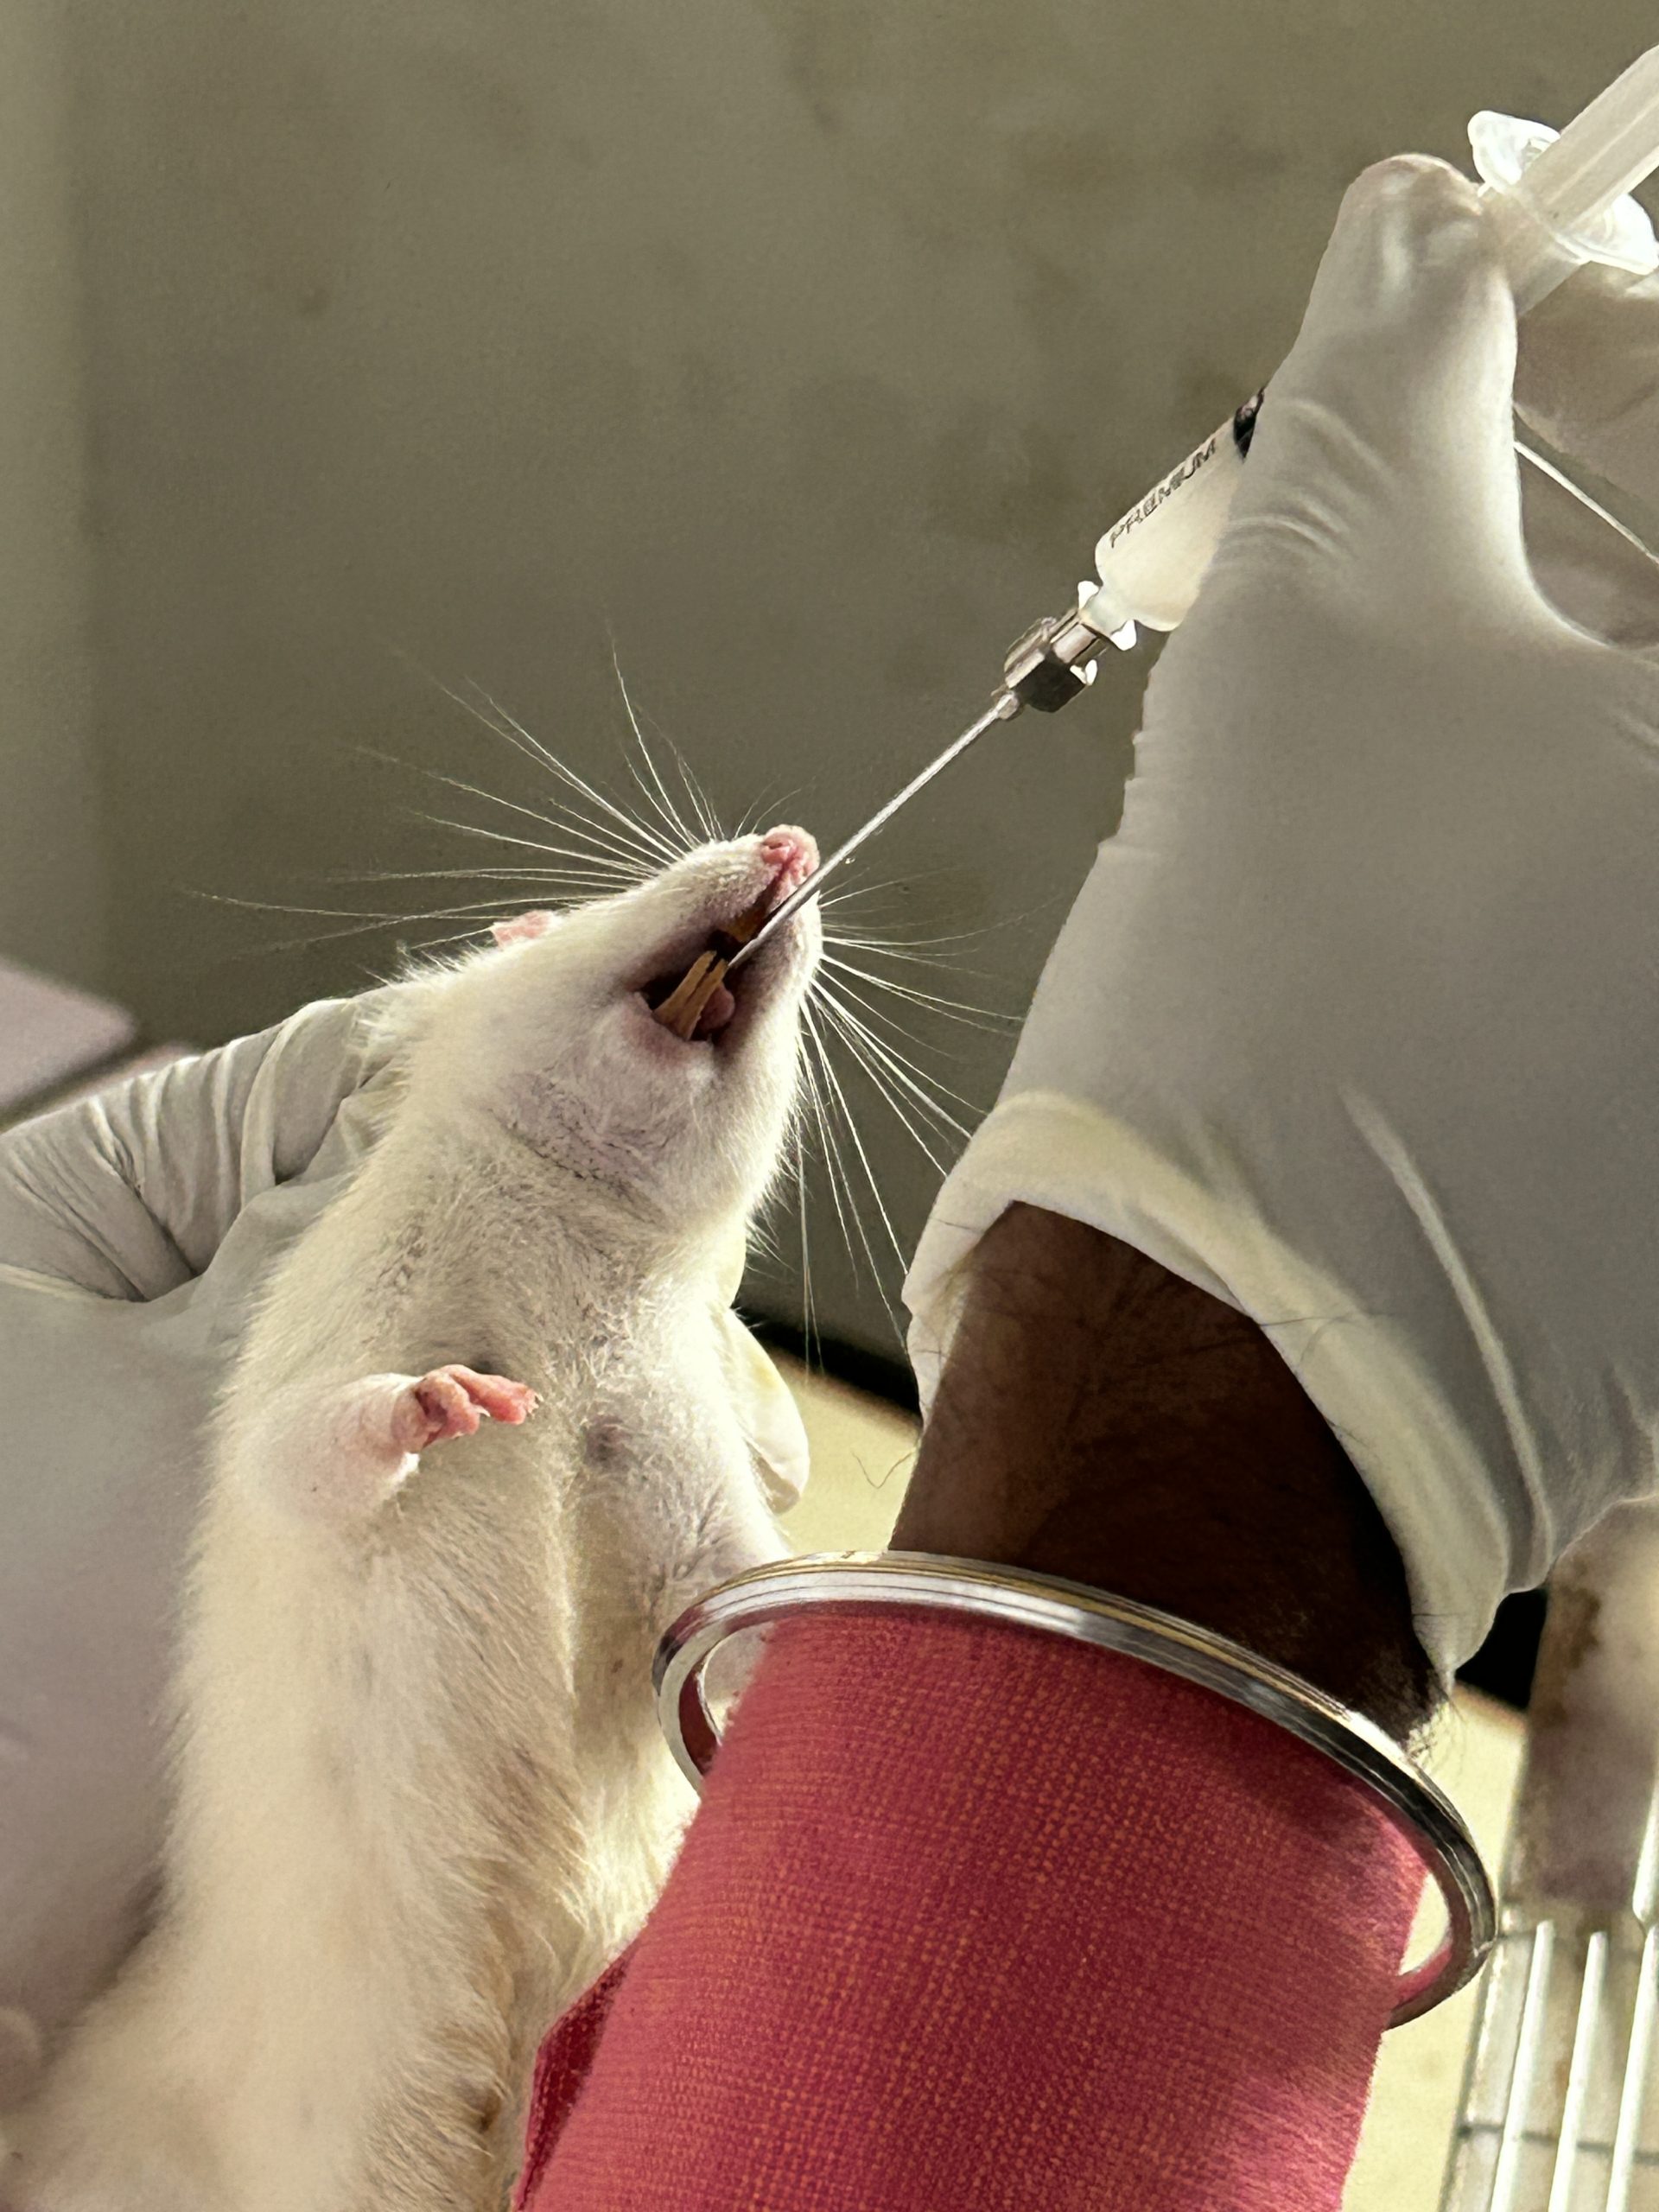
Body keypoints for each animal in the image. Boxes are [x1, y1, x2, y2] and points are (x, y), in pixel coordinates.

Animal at [3, 826, 822, 2212]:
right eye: (600, 901)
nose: (789, 845)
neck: (571, 1234)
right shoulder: (340, 1309)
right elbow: (291, 1459)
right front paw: (432, 1404)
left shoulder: (682, 1436)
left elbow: (731, 1579)